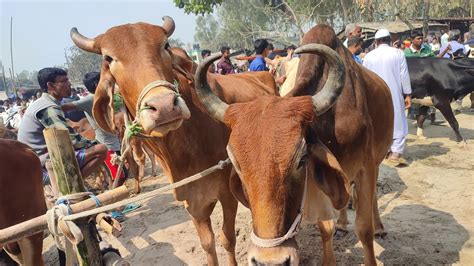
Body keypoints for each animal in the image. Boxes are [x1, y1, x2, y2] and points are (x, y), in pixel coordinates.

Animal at [70, 16, 278, 264]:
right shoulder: (192, 201)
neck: (183, 151)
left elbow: (227, 238)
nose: (164, 106)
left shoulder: (227, 193)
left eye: (165, 46)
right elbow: (207, 244)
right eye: (108, 58)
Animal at [194, 23, 394, 264]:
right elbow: (325, 227)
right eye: (238, 166)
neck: (331, 122)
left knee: (372, 199)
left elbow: (364, 229)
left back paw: (379, 227)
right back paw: (343, 223)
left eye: (301, 160)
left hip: (377, 160)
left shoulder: (365, 168)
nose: (269, 261)